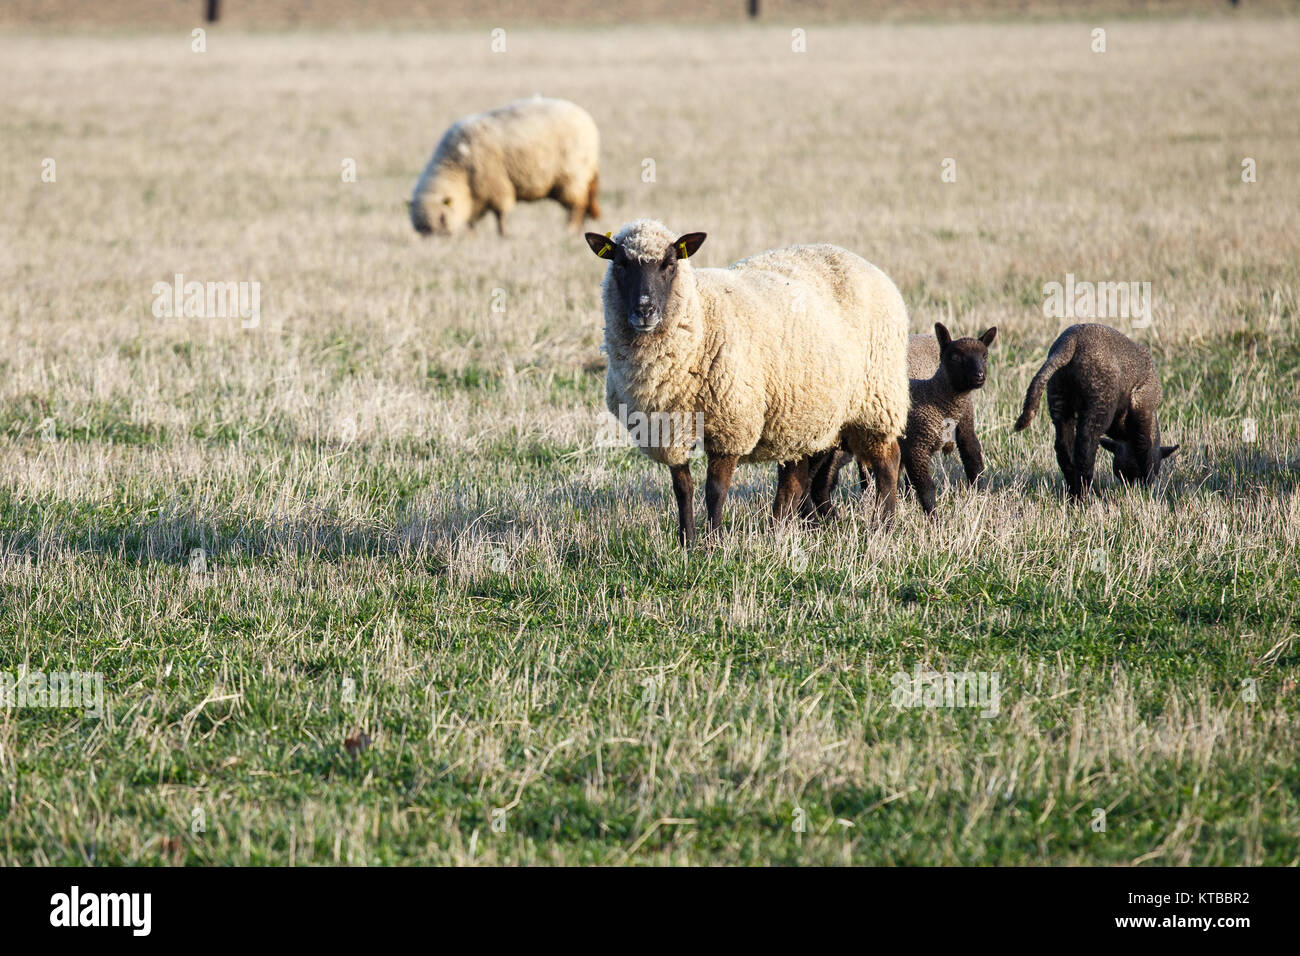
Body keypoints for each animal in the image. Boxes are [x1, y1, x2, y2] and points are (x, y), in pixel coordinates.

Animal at [409, 97, 600, 237]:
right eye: (419, 229)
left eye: (442, 218)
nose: (437, 242)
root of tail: (586, 118)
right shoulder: (476, 195)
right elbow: (472, 219)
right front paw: (472, 235)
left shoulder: (496, 186)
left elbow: (500, 214)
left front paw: (503, 234)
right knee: (582, 205)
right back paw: (578, 230)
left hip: (572, 176)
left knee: (577, 206)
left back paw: (570, 229)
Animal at [585, 219, 909, 546]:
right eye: (620, 264)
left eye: (670, 263)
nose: (645, 310)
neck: (700, 319)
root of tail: (863, 262)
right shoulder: (666, 429)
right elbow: (683, 489)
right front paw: (687, 541)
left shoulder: (732, 422)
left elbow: (715, 490)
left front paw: (713, 542)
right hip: (804, 414)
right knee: (796, 478)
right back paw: (781, 529)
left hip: (876, 400)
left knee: (888, 462)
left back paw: (884, 526)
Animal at [1015, 322, 1178, 497]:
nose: (1131, 488)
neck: (1124, 436)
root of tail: (1070, 341)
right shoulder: (1143, 409)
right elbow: (1145, 448)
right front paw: (1149, 488)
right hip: (1100, 400)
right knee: (1086, 447)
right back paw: (1086, 494)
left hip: (1058, 397)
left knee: (1063, 447)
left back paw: (1074, 492)